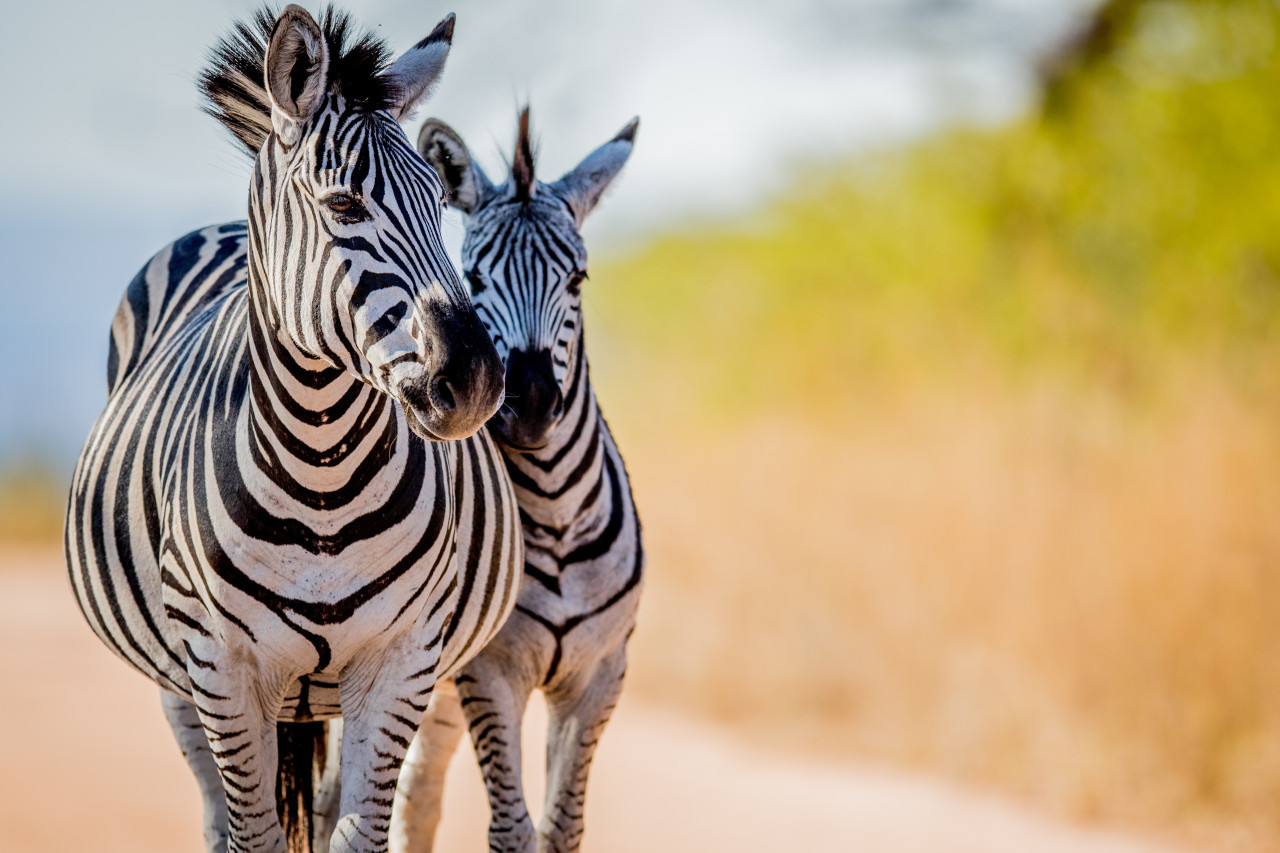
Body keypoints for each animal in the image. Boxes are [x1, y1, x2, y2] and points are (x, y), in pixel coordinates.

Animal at [62, 4, 522, 845]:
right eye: (343, 206)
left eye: (438, 203)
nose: (474, 382)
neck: (322, 475)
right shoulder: (221, 667)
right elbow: (255, 832)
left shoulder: (403, 658)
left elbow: (359, 830)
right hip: (176, 680)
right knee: (218, 816)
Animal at [389, 108, 645, 850]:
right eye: (474, 278)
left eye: (578, 279)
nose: (529, 404)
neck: (556, 515)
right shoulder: (490, 674)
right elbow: (512, 829)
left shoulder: (599, 676)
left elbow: (563, 828)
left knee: (413, 797)